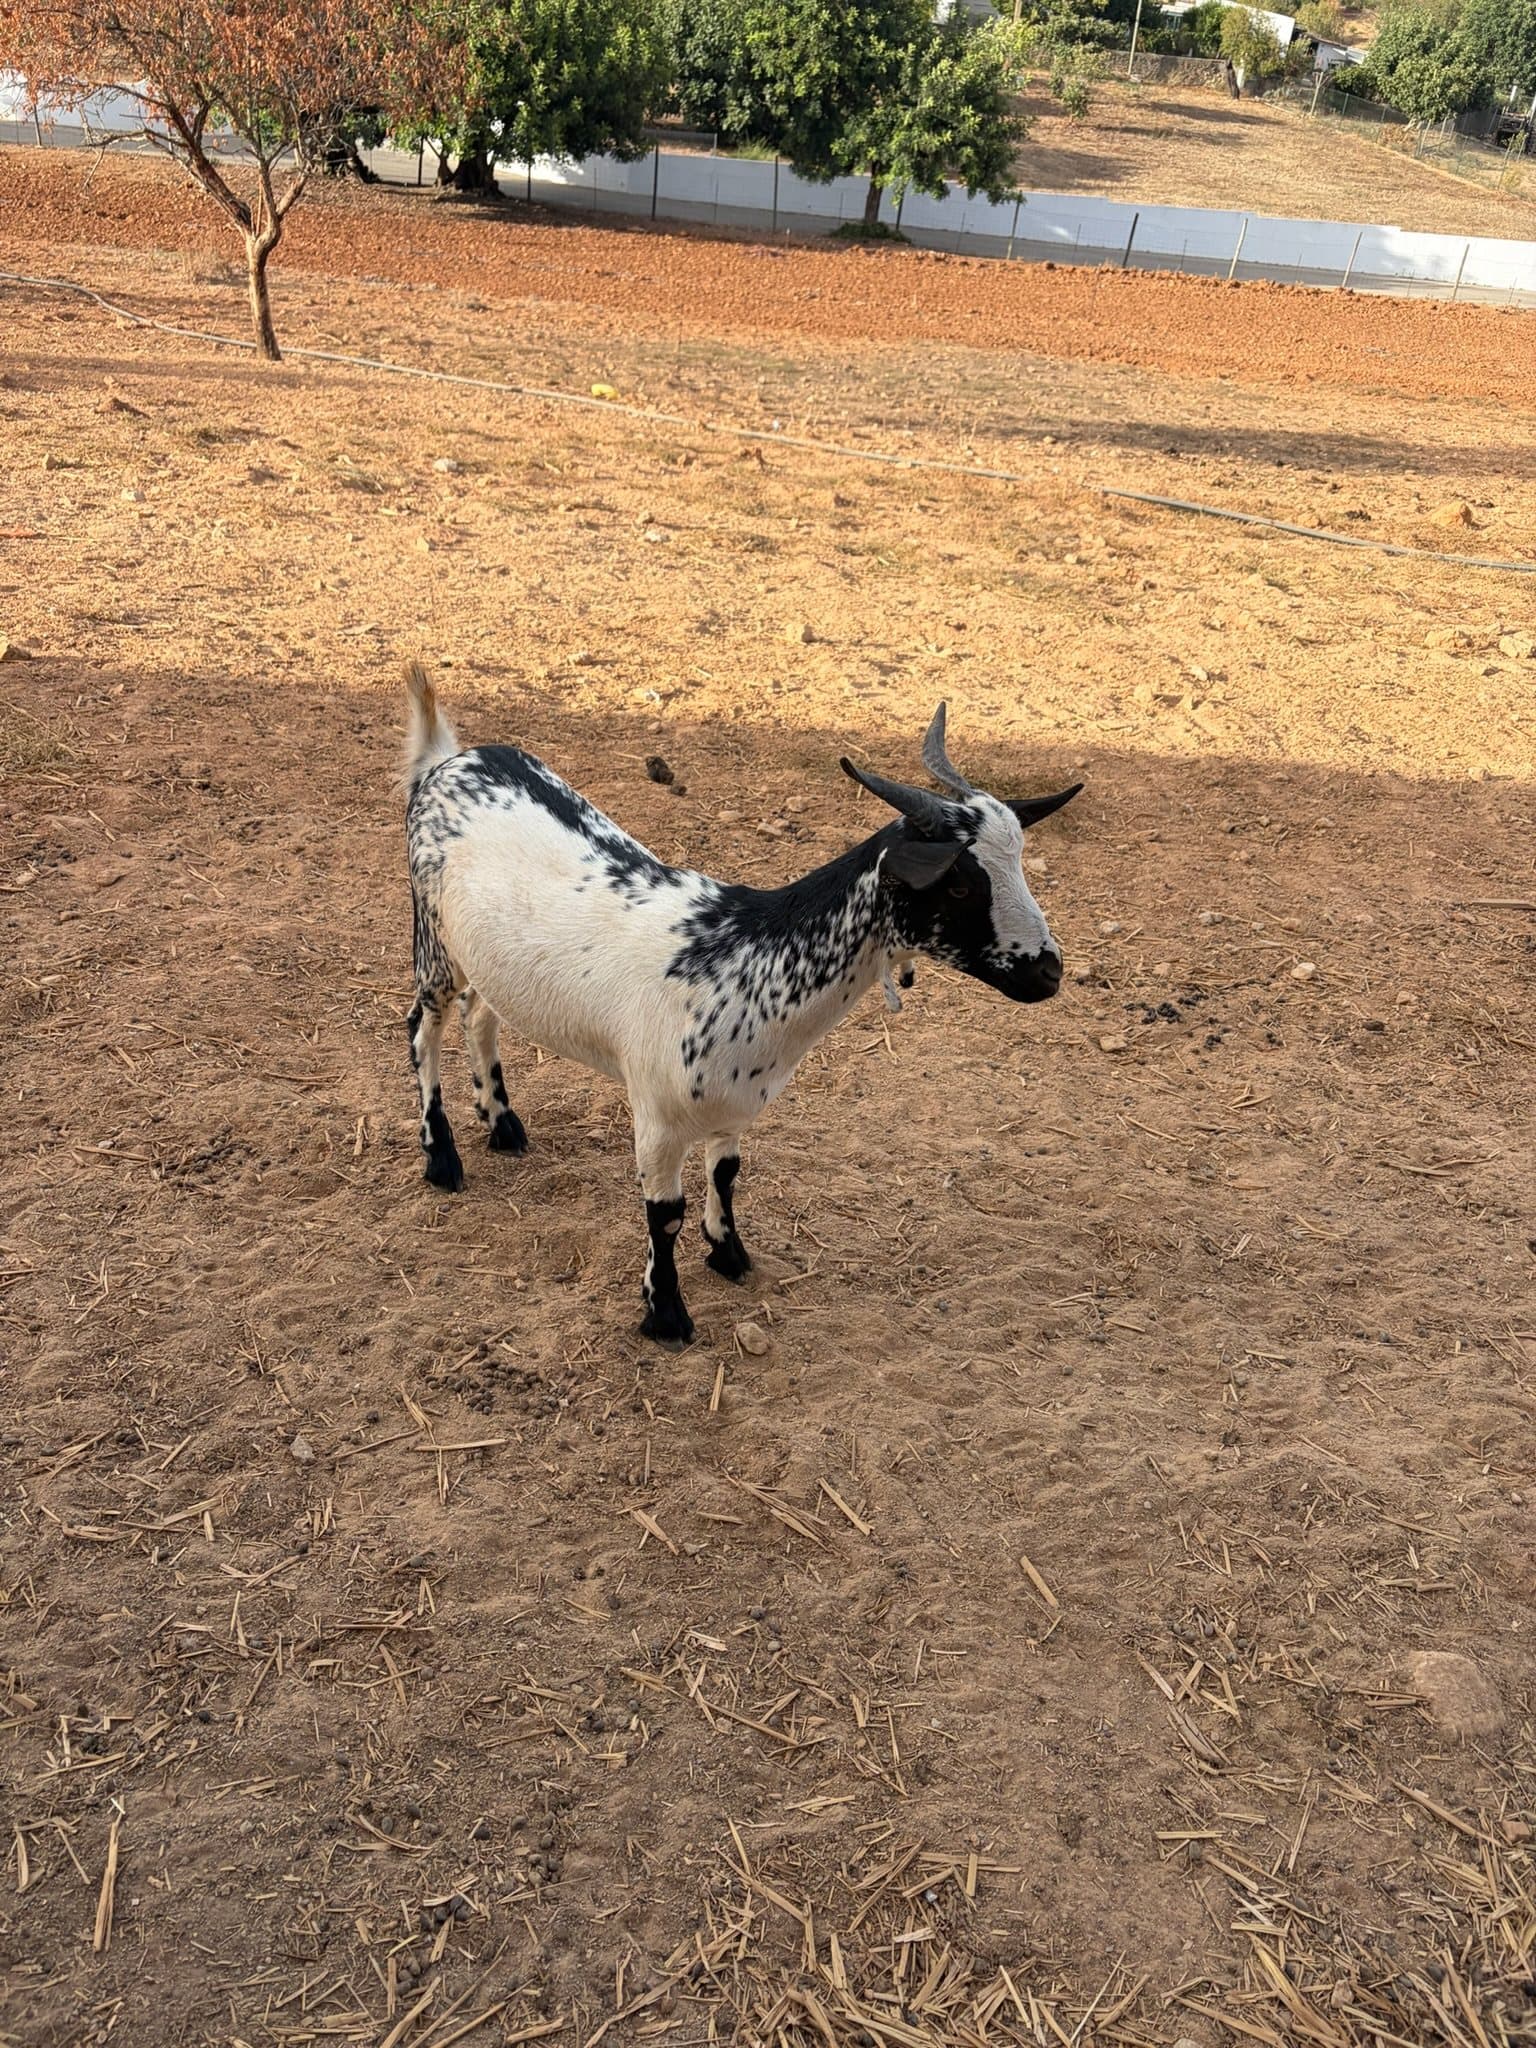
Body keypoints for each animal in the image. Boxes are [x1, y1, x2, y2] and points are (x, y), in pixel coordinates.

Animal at [401, 662, 1081, 1345]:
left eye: (1019, 863)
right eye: (960, 884)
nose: (1049, 973)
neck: (743, 961)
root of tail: (448, 760)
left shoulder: (733, 1105)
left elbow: (727, 1176)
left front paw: (729, 1254)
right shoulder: (657, 1116)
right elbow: (665, 1215)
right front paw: (666, 1313)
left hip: (486, 960)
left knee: (481, 1016)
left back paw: (502, 1123)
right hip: (432, 941)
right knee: (422, 1030)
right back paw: (442, 1156)